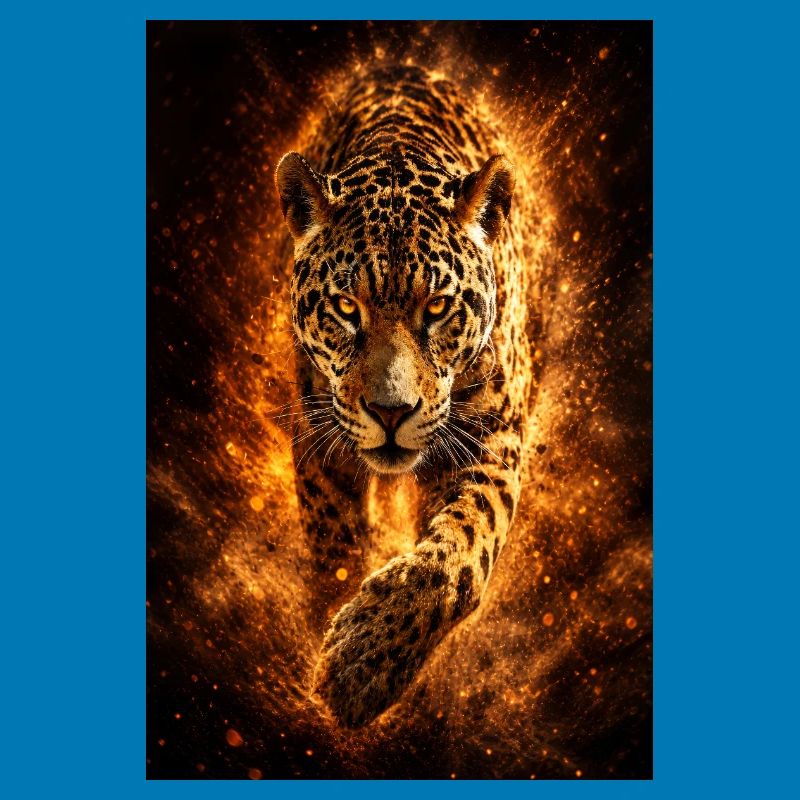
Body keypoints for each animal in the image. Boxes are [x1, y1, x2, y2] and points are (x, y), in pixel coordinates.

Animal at [274, 64, 547, 728]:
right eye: (347, 308)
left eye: (439, 307)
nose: (391, 412)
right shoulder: (319, 435)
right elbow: (333, 544)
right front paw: (331, 616)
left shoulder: (494, 437)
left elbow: (456, 557)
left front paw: (362, 661)